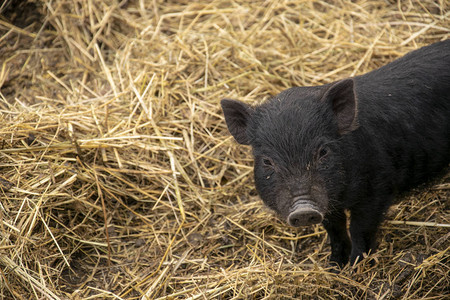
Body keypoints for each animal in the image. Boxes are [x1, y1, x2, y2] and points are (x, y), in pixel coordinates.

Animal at [221, 39, 450, 264]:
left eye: (323, 151)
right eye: (267, 161)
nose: (303, 209)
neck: (342, 196)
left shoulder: (378, 188)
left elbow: (359, 228)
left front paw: (357, 265)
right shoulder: (328, 203)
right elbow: (335, 229)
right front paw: (334, 265)